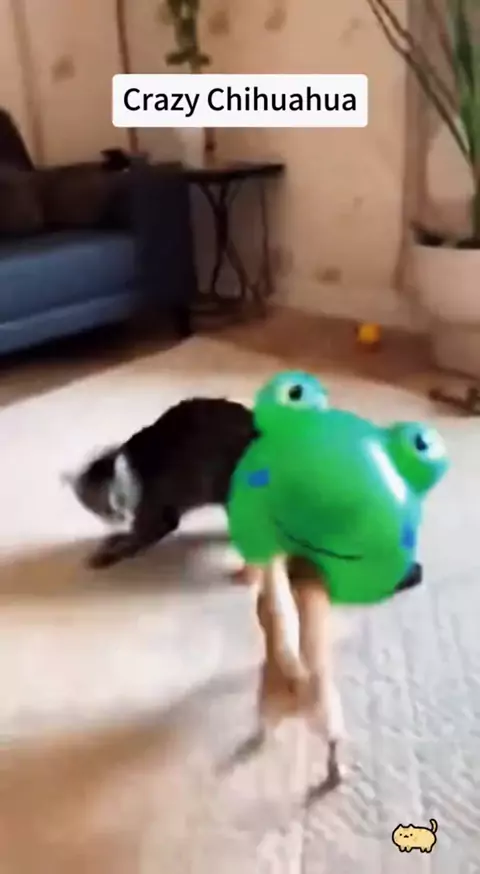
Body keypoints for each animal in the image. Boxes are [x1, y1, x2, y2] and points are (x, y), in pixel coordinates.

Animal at [62, 397, 257, 568]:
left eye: (118, 497)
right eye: (97, 507)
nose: (118, 516)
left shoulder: (156, 515)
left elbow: (136, 540)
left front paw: (108, 555)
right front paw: (112, 540)